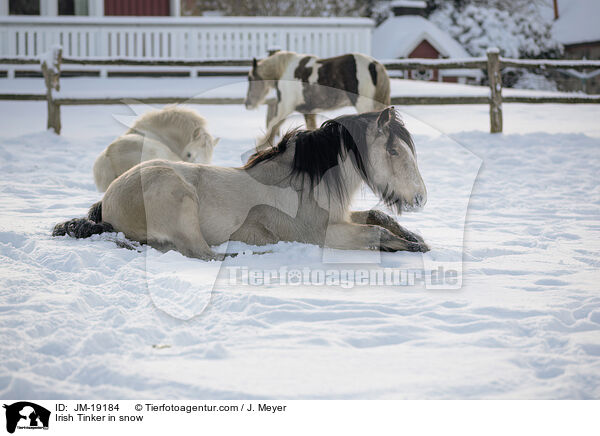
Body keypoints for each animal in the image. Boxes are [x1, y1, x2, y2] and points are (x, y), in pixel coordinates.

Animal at [51, 108, 426, 258]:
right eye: (393, 150)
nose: (421, 198)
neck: (300, 184)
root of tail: (108, 199)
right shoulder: (323, 234)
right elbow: (374, 232)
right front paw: (407, 247)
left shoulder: (341, 218)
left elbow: (378, 217)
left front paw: (415, 239)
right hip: (180, 200)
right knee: (199, 253)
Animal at [245, 50, 392, 150]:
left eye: (250, 78)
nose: (247, 104)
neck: (285, 71)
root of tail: (374, 65)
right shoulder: (308, 111)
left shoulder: (284, 107)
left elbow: (272, 126)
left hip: (364, 105)